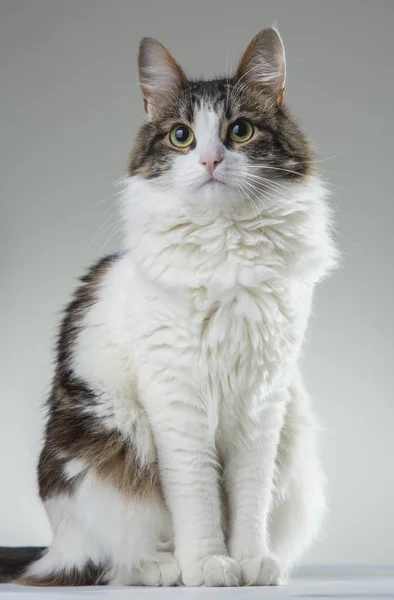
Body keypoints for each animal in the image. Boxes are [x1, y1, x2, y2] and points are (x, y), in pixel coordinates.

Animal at [4, 27, 338, 584]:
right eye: (181, 136)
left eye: (240, 131)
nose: (210, 161)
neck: (228, 251)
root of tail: (53, 545)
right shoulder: (177, 397)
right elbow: (198, 495)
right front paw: (207, 563)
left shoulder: (262, 400)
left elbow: (248, 497)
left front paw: (249, 561)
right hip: (102, 459)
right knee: (111, 561)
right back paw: (164, 567)